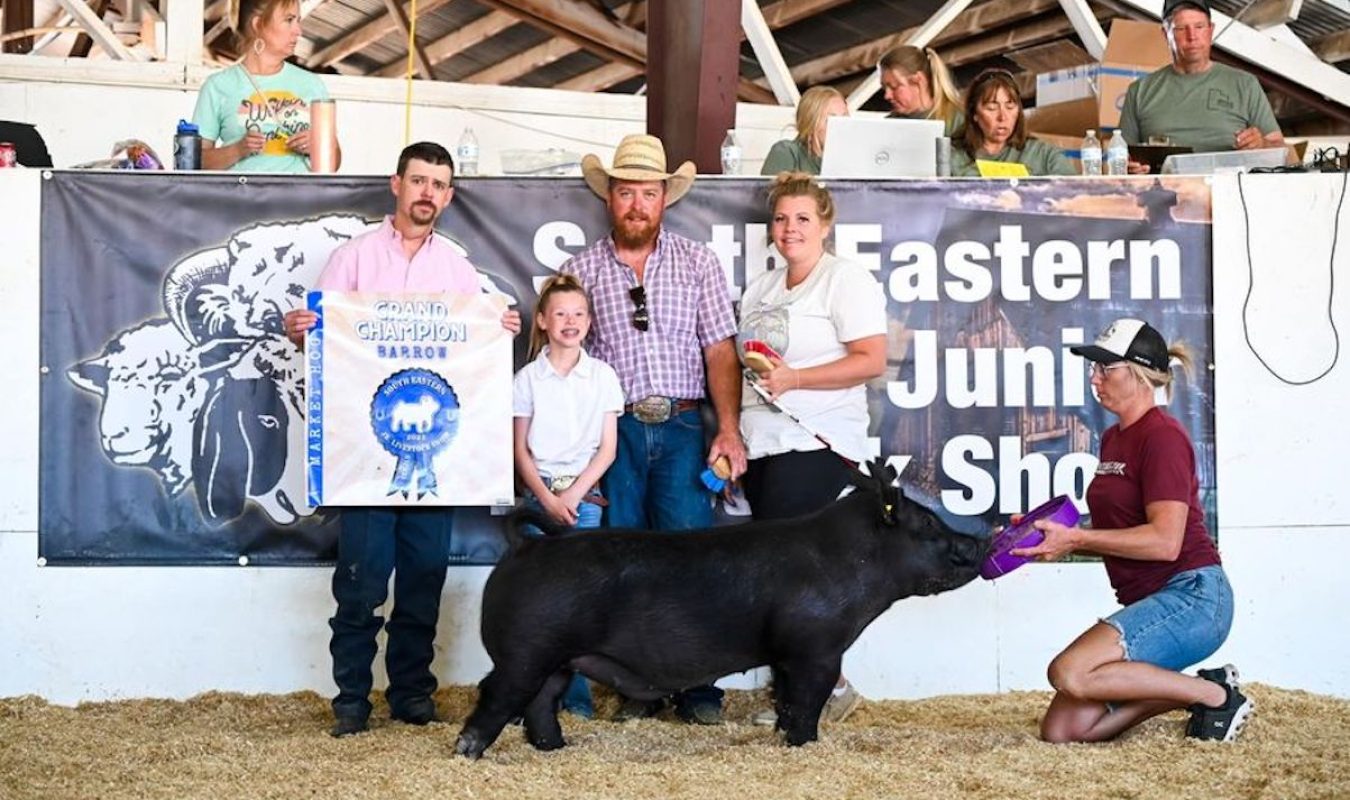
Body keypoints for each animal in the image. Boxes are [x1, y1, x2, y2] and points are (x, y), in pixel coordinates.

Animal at [450, 458, 982, 755]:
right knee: (497, 695)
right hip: (526, 651)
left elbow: (787, 701)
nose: (980, 541)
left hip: (558, 660)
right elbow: (807, 703)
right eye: (927, 525)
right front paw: (805, 745)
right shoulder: (817, 650)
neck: (851, 562)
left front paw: (782, 739)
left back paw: (558, 750)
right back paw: (466, 752)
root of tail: (527, 546)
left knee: (541, 705)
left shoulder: (786, 655)